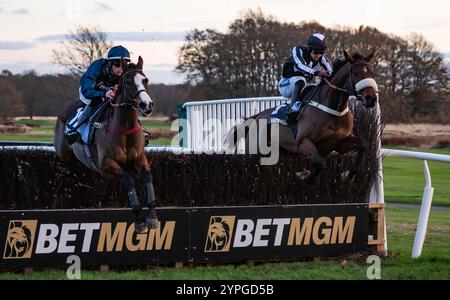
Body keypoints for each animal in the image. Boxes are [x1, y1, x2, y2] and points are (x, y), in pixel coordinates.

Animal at [54, 56, 158, 234]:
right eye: (128, 82)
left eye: (145, 80)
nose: (147, 105)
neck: (124, 129)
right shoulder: (107, 163)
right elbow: (129, 180)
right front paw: (139, 220)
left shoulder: (140, 159)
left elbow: (147, 178)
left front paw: (151, 217)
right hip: (63, 153)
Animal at [225, 50, 380, 182]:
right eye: (354, 72)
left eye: (372, 72)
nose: (371, 98)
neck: (333, 110)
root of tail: (256, 118)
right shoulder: (303, 142)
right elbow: (321, 163)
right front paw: (304, 176)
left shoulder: (340, 143)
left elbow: (363, 145)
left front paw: (350, 174)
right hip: (254, 151)